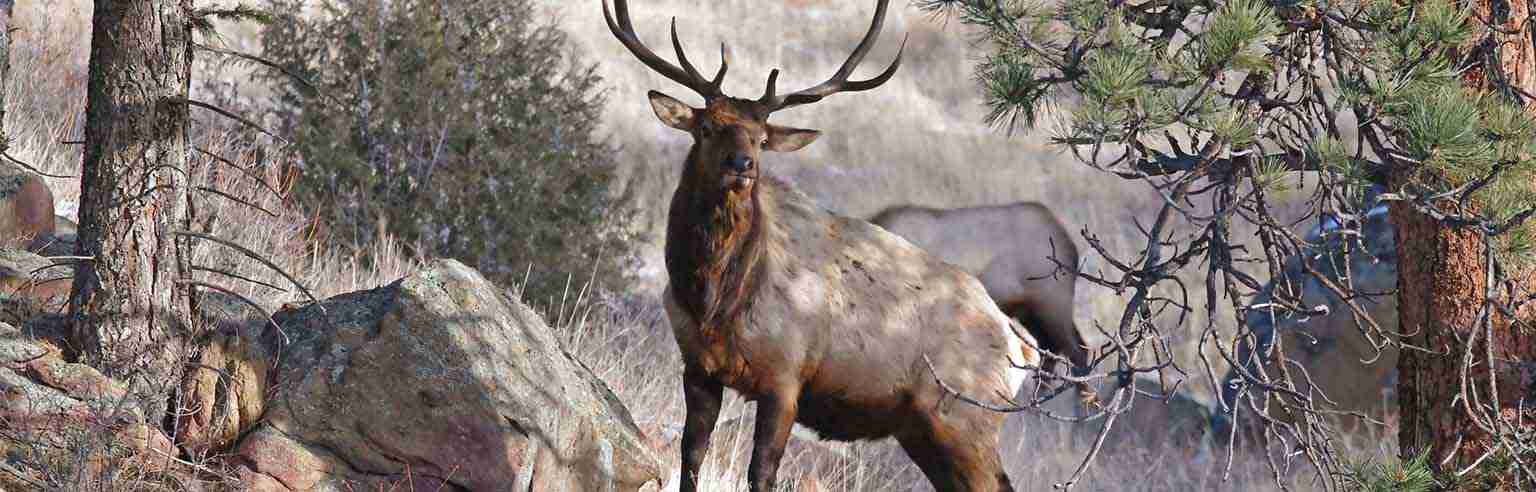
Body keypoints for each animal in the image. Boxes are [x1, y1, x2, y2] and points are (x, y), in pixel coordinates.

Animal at [603, 0, 1040, 490]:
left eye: (762, 138)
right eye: (708, 127)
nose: (742, 164)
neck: (715, 301)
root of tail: (1021, 347)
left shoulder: (786, 376)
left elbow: (763, 472)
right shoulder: (698, 366)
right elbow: (691, 456)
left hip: (966, 417)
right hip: (924, 428)